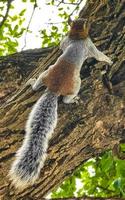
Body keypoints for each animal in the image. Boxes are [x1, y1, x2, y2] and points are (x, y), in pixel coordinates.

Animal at [8, 17, 112, 189]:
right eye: (85, 22)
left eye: (80, 20)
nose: (88, 20)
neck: (77, 36)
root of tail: (54, 89)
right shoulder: (89, 45)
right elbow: (99, 55)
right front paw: (110, 60)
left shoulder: (67, 41)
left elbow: (62, 45)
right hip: (76, 83)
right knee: (65, 98)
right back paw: (71, 99)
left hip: (45, 73)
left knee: (38, 86)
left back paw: (32, 83)